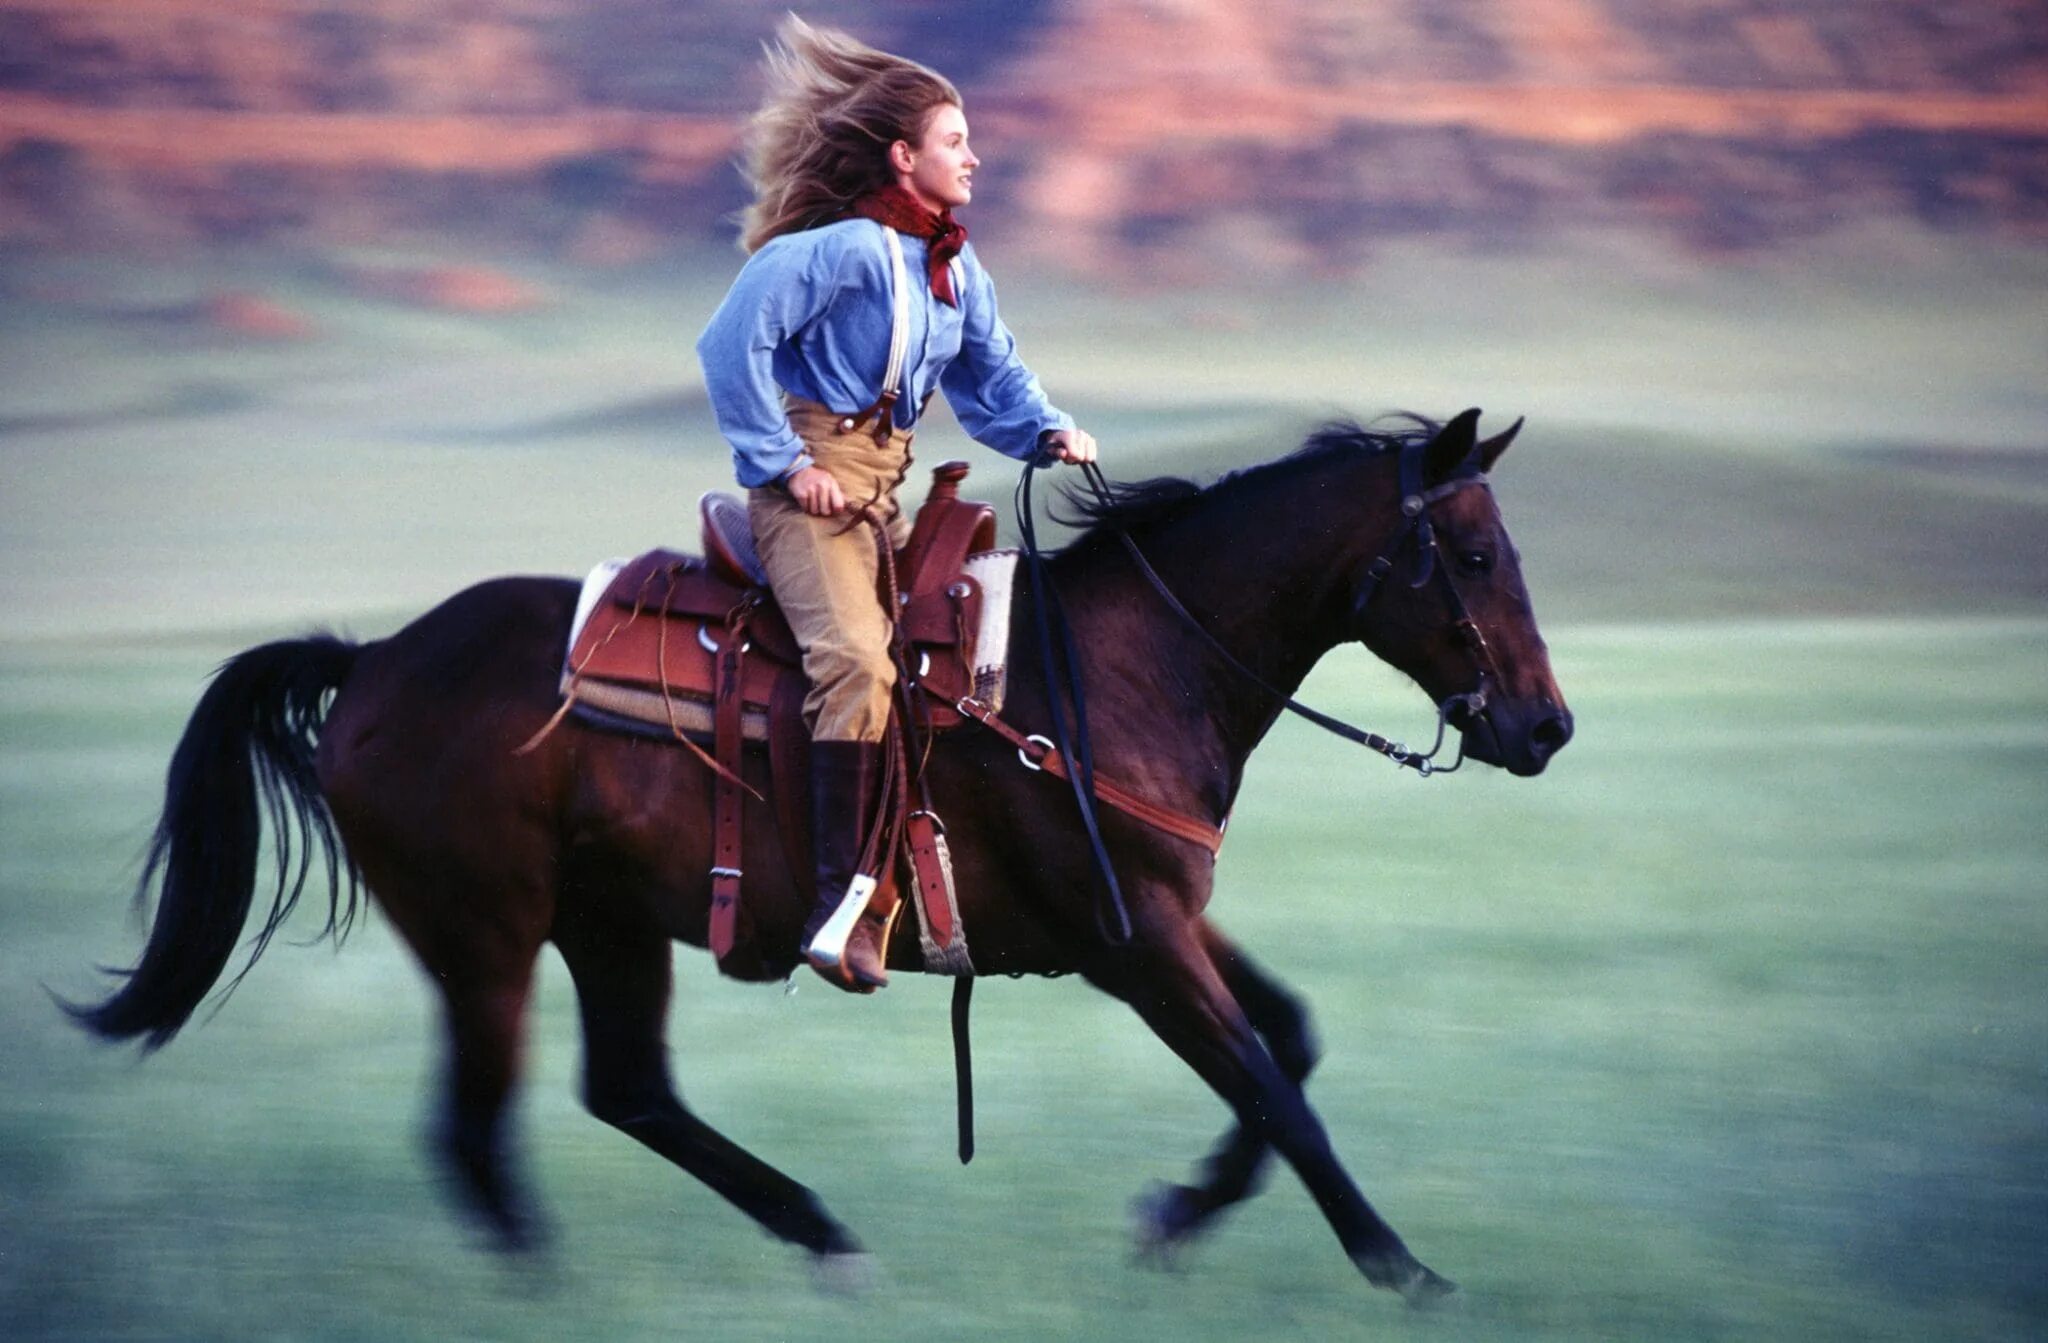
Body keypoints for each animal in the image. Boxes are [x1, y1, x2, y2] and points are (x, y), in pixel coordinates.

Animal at [64, 407, 1564, 1302]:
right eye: (1471, 553)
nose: (1544, 725)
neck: (1125, 667)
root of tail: (374, 661)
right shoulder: (1133, 943)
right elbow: (1271, 1084)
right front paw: (1402, 1267)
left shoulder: (1158, 917)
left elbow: (1287, 1046)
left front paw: (1172, 1214)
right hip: (484, 933)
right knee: (480, 1128)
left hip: (606, 922)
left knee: (627, 1090)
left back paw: (824, 1235)